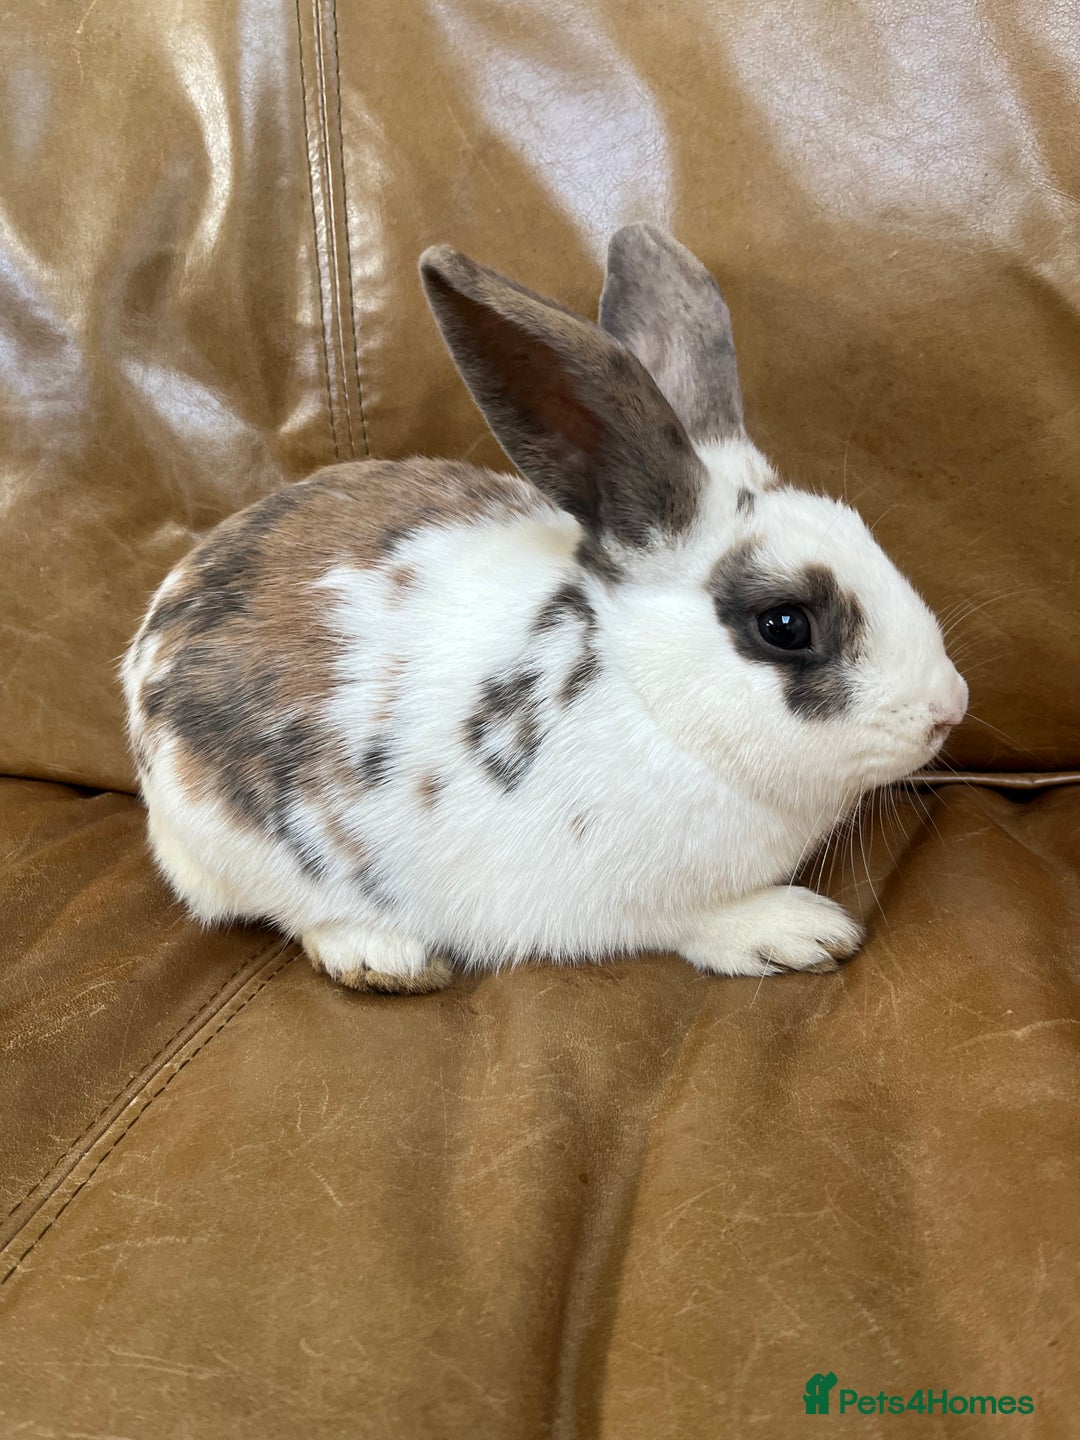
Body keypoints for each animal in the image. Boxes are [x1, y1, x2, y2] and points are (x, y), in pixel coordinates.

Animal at [122, 223, 967, 994]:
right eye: (785, 625)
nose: (948, 709)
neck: (650, 699)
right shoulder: (620, 900)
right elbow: (698, 921)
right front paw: (799, 930)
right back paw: (385, 956)